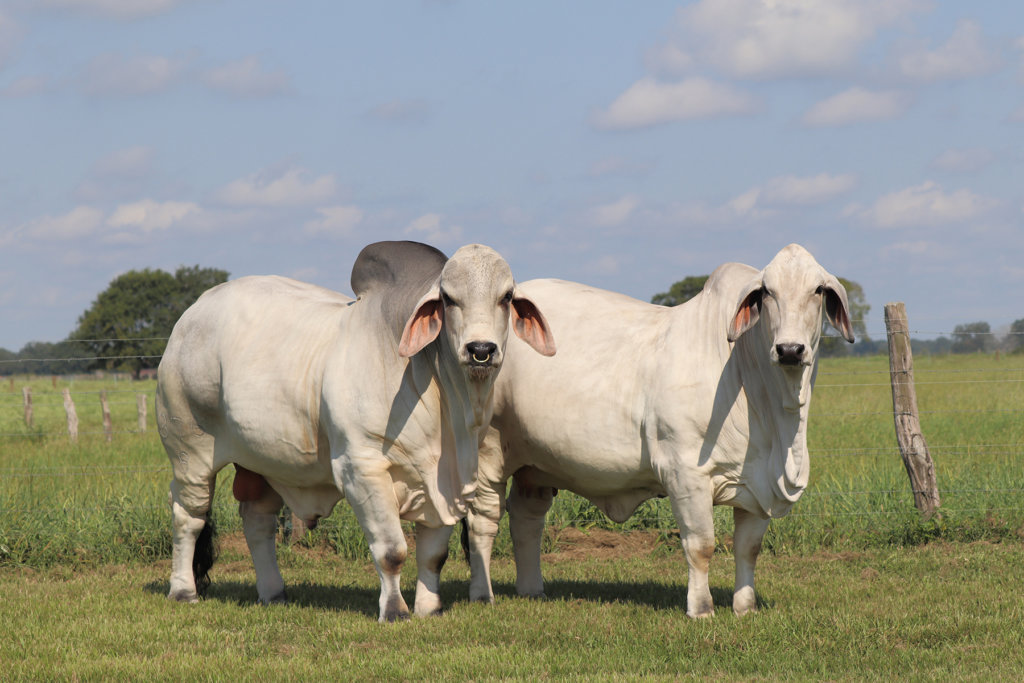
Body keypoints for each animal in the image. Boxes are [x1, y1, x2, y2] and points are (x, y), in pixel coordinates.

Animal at [156, 241, 555, 622]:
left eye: (506, 297)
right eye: (448, 298)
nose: (481, 349)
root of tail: (192, 313)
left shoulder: (448, 486)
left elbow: (434, 555)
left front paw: (429, 608)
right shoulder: (360, 468)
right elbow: (392, 551)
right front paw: (394, 611)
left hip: (262, 462)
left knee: (257, 521)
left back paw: (273, 592)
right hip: (190, 451)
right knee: (188, 517)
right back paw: (183, 591)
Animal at [464, 243, 853, 618]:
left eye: (818, 290)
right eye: (767, 292)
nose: (790, 349)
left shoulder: (757, 488)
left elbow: (748, 549)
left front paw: (745, 608)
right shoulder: (684, 473)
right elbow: (701, 546)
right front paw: (701, 609)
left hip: (536, 464)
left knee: (527, 518)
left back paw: (532, 589)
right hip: (488, 452)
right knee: (483, 521)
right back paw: (483, 595)